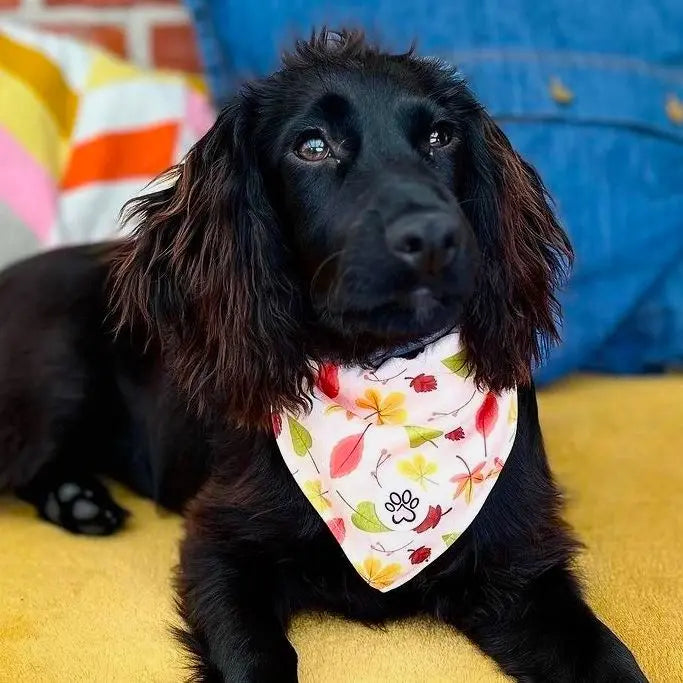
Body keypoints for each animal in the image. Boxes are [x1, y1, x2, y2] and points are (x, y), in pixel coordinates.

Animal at [1, 30, 648, 683]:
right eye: (312, 146)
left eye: (440, 137)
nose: (433, 237)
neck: (388, 384)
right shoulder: (220, 545)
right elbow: (256, 655)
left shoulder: (521, 567)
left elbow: (610, 658)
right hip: (62, 376)